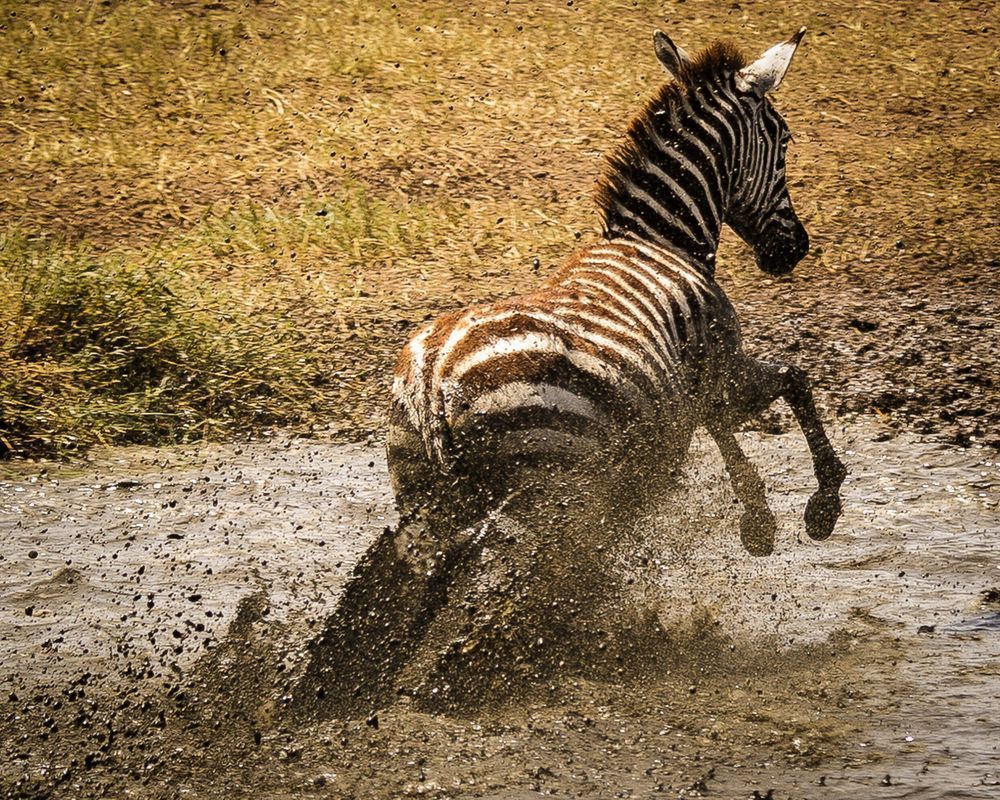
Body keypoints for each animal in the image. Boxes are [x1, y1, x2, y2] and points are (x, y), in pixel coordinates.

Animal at [296, 27, 847, 716]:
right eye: (784, 137)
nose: (793, 250)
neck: (660, 239)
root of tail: (434, 378)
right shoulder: (718, 368)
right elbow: (791, 383)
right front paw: (813, 508)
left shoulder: (691, 389)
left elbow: (724, 429)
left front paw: (763, 519)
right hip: (546, 492)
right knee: (509, 590)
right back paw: (475, 671)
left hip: (425, 493)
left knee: (411, 584)